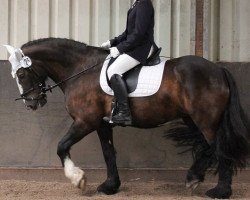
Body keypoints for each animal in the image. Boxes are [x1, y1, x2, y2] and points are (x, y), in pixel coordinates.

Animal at [3, 38, 248, 198]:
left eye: (21, 74)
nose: (31, 103)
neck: (80, 70)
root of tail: (218, 69)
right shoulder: (101, 124)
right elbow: (108, 153)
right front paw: (110, 186)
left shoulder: (85, 121)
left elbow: (61, 146)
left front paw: (78, 179)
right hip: (192, 118)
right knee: (207, 147)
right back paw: (194, 177)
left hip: (206, 120)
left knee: (218, 148)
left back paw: (220, 191)